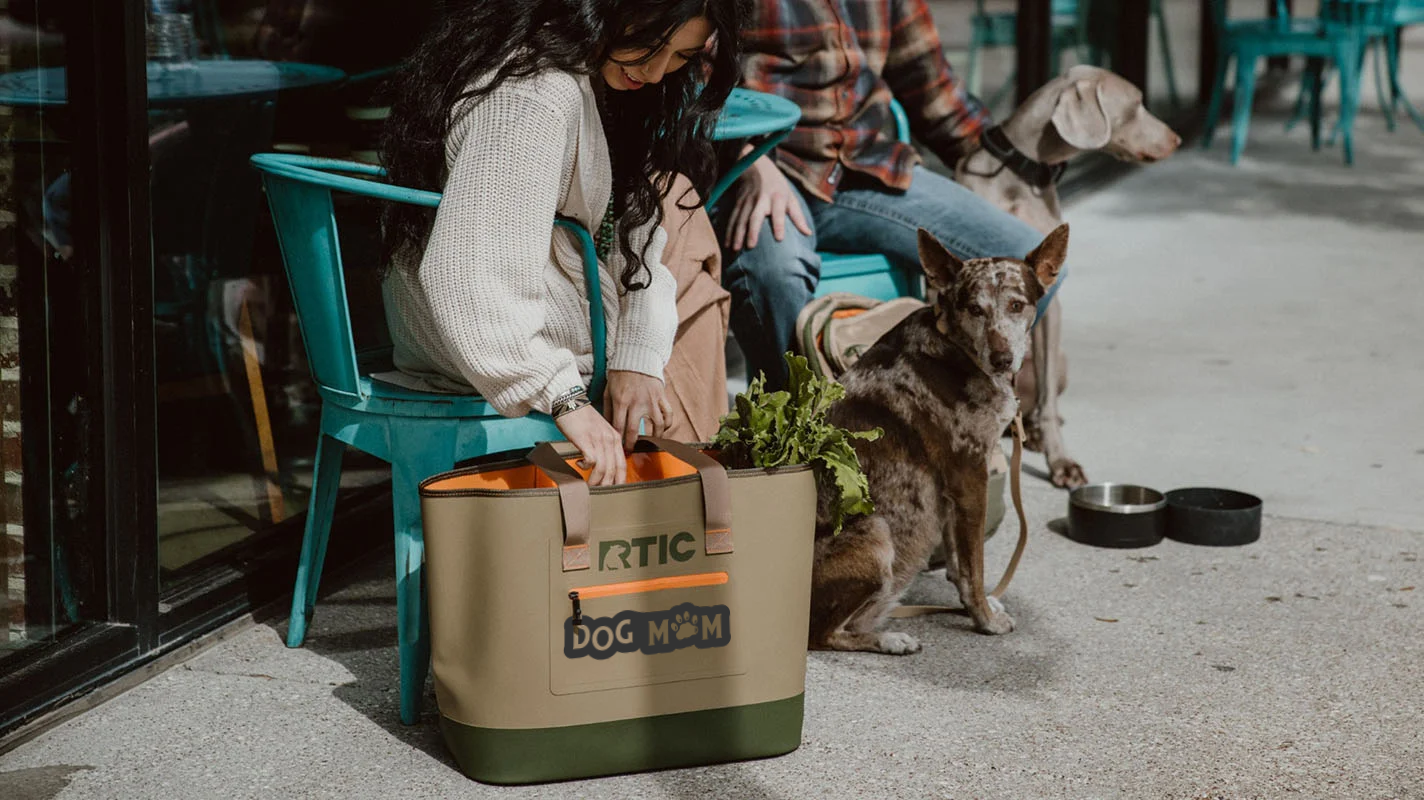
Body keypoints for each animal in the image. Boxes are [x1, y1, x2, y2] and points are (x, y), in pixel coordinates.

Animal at [814, 220, 1070, 651]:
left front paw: (978, 607)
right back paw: (889, 638)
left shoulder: (953, 489)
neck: (955, 347)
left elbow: (958, 564)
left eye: (1017, 305)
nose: (1002, 359)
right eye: (974, 309)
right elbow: (974, 567)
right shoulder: (970, 476)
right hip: (877, 533)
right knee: (825, 634)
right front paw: (985, 620)